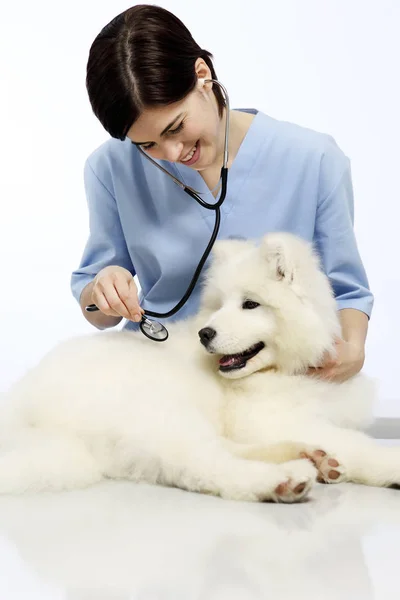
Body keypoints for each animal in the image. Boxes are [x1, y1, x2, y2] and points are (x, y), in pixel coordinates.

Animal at [1, 234, 398, 502]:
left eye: (250, 304)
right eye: (219, 305)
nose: (205, 334)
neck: (280, 370)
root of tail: (22, 412)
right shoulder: (268, 417)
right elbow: (360, 445)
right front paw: (390, 463)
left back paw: (309, 457)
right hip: (160, 413)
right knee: (206, 466)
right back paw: (284, 480)